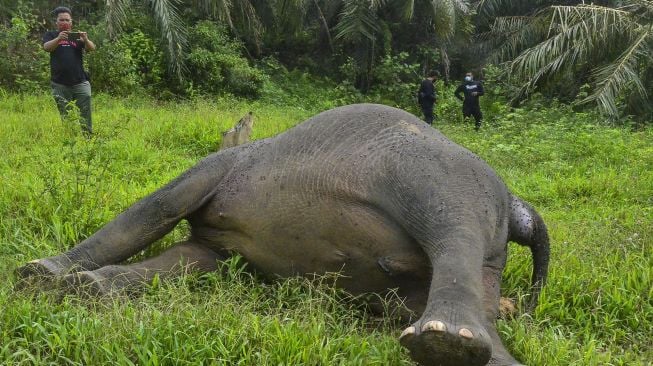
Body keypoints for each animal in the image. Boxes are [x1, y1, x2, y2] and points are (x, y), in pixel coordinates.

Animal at [15, 103, 548, 366]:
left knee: (451, 229)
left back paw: (444, 341)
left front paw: (34, 277)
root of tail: (517, 206)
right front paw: (79, 288)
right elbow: (193, 259)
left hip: (443, 176)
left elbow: (159, 205)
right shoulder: (218, 241)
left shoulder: (220, 167)